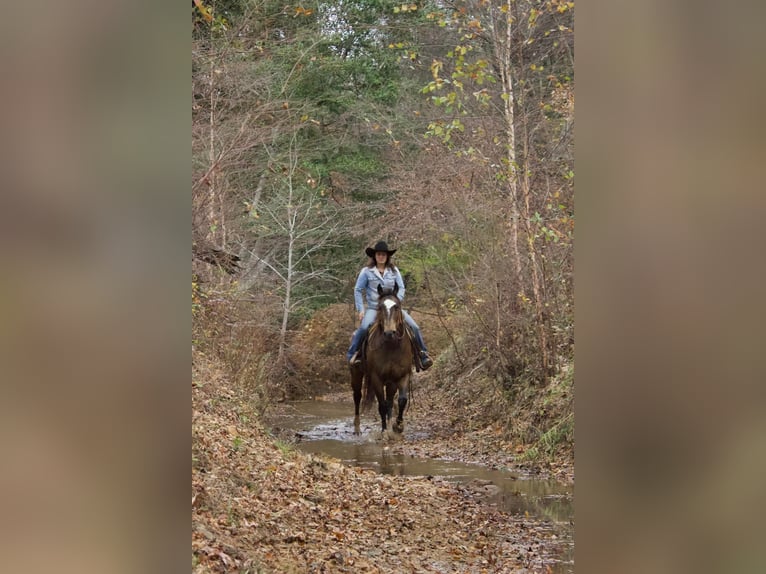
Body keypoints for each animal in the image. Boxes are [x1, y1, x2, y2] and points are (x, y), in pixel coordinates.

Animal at [352, 286, 416, 434]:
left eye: (396, 306)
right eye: (380, 307)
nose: (389, 333)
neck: (391, 346)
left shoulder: (401, 375)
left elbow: (401, 400)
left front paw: (398, 426)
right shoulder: (376, 378)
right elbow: (381, 405)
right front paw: (385, 432)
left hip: (390, 381)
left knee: (390, 401)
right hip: (356, 373)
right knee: (357, 396)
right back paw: (357, 427)